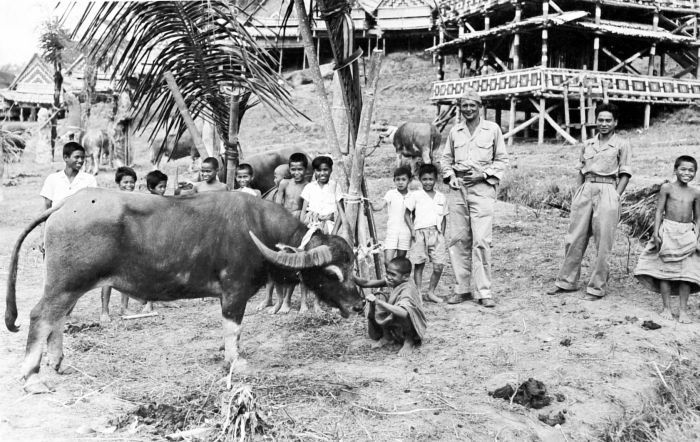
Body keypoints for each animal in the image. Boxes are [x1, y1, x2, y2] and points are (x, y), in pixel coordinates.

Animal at [5, 188, 364, 392]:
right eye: (332, 272)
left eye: (353, 267)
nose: (359, 304)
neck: (258, 231)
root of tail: (66, 204)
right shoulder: (234, 291)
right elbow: (234, 328)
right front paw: (235, 362)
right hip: (66, 283)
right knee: (41, 316)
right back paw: (32, 378)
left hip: (70, 286)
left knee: (58, 318)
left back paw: (56, 361)